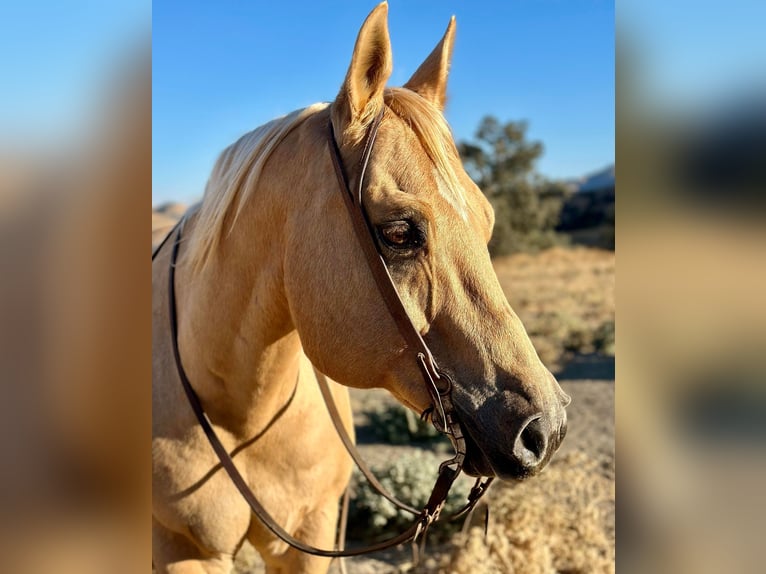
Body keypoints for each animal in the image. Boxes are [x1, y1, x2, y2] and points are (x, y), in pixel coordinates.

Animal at [153, 4, 568, 574]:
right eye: (399, 232)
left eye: (487, 220)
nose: (546, 429)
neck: (242, 412)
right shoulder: (182, 549)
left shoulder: (310, 532)